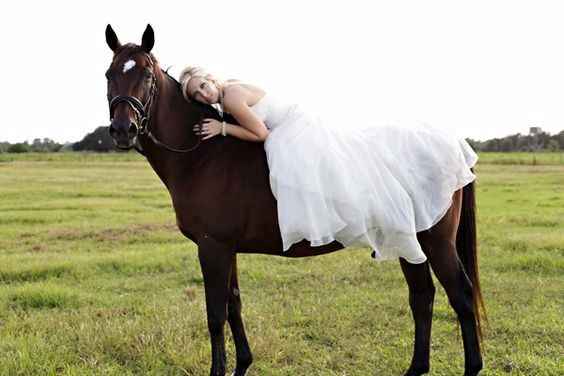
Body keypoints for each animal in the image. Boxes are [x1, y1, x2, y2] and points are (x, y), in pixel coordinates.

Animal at [104, 24, 484, 376]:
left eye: (146, 75)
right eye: (109, 74)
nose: (123, 130)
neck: (204, 155)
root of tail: (453, 143)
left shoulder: (213, 247)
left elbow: (215, 314)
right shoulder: (226, 248)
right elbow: (233, 305)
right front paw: (243, 364)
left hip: (435, 241)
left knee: (460, 297)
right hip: (408, 241)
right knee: (422, 297)